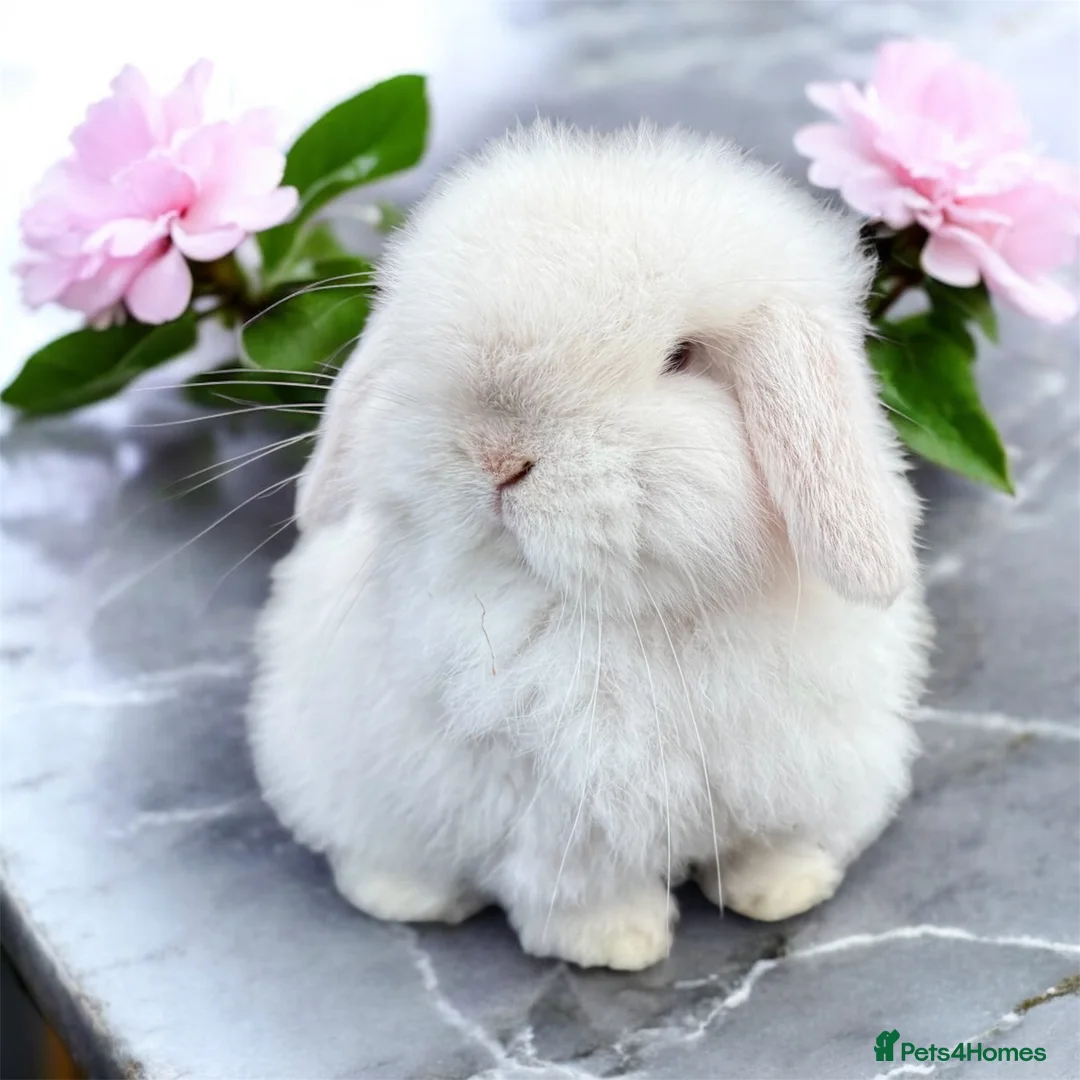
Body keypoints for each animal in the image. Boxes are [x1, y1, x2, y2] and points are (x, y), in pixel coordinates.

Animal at [247, 121, 932, 972]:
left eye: (681, 358)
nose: (499, 456)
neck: (620, 614)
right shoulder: (560, 814)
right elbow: (577, 887)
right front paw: (618, 943)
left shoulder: (793, 767)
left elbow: (768, 841)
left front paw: (786, 889)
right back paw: (407, 895)